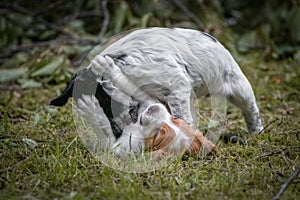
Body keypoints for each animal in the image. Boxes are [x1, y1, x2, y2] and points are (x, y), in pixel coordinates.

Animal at [50, 27, 264, 138]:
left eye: (107, 104)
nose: (119, 134)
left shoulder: (176, 84)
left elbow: (182, 117)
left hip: (237, 85)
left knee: (250, 107)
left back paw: (257, 132)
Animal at [76, 94, 214, 159]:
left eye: (157, 134)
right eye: (176, 119)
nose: (153, 108)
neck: (139, 131)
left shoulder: (115, 149)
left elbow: (105, 132)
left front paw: (89, 108)